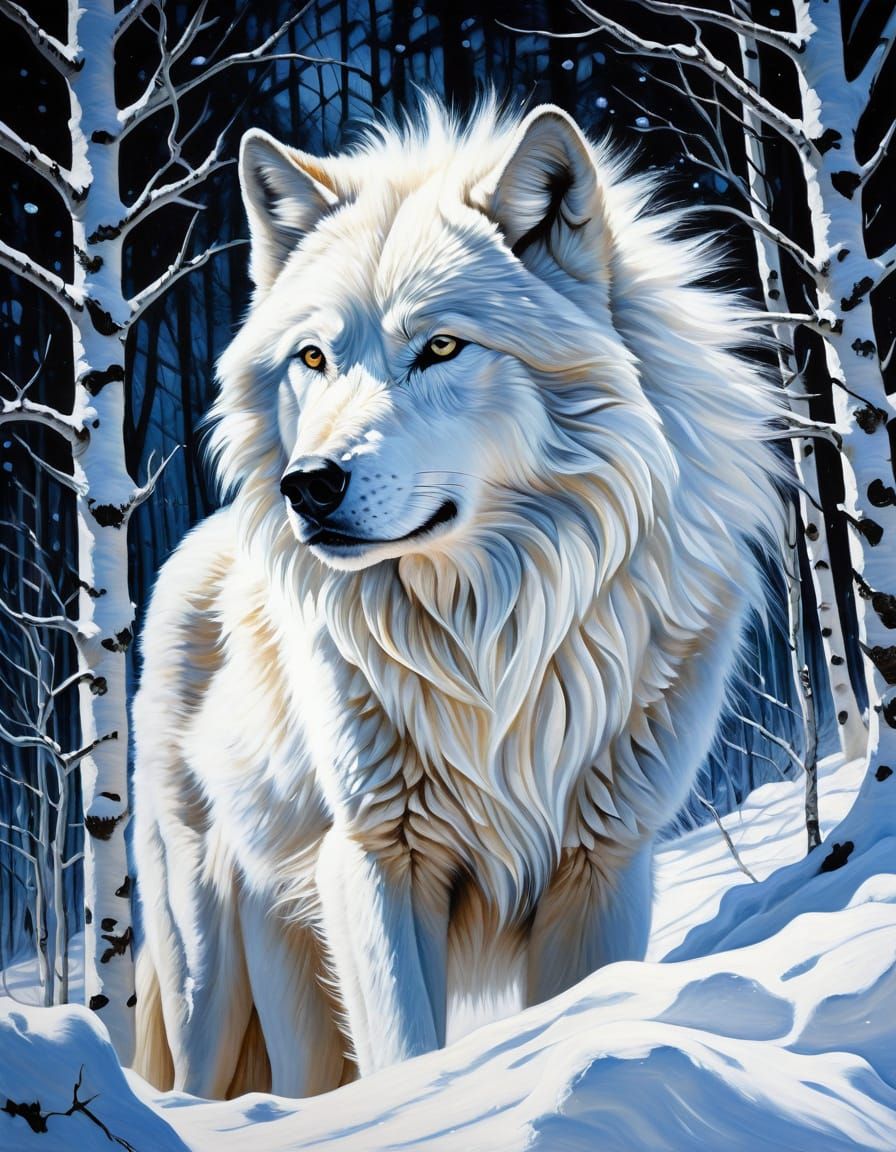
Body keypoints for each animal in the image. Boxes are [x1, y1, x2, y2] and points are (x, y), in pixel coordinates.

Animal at [132, 100, 783, 1099]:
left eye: (440, 346)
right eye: (313, 357)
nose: (307, 485)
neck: (493, 639)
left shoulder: (603, 865)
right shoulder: (375, 858)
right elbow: (406, 1052)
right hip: (206, 965)